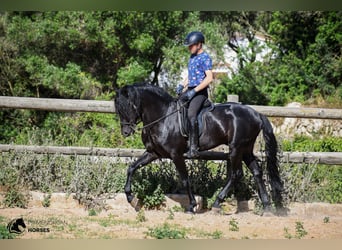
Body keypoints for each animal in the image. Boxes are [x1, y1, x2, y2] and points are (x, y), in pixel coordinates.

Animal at [114, 83, 284, 214]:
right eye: (118, 108)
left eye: (130, 105)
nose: (126, 132)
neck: (163, 117)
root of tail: (257, 114)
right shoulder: (153, 153)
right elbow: (131, 168)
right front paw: (131, 198)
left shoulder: (176, 155)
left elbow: (185, 180)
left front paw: (191, 206)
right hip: (246, 149)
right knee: (256, 172)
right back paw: (267, 207)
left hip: (236, 148)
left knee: (236, 174)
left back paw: (217, 203)